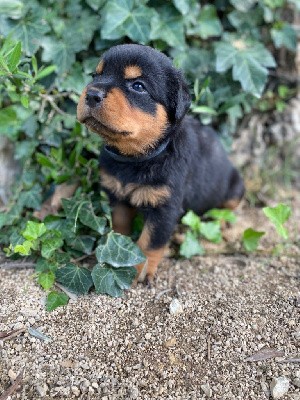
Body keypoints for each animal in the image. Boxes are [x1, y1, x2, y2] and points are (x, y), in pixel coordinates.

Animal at [77, 43, 244, 282]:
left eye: (138, 86)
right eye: (95, 76)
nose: (91, 94)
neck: (136, 158)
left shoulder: (165, 207)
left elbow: (150, 241)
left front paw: (142, 268)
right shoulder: (117, 196)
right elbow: (120, 224)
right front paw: (120, 248)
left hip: (235, 188)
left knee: (224, 211)